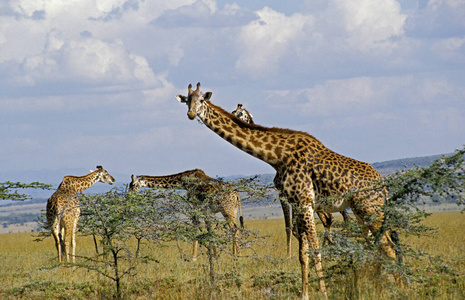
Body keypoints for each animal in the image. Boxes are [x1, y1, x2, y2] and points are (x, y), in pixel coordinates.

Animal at [230, 102, 350, 253]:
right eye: (234, 111)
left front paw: (290, 254)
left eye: (239, 113)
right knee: (331, 218)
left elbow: (290, 227)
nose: (231, 116)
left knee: (330, 219)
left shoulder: (283, 194)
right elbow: (295, 228)